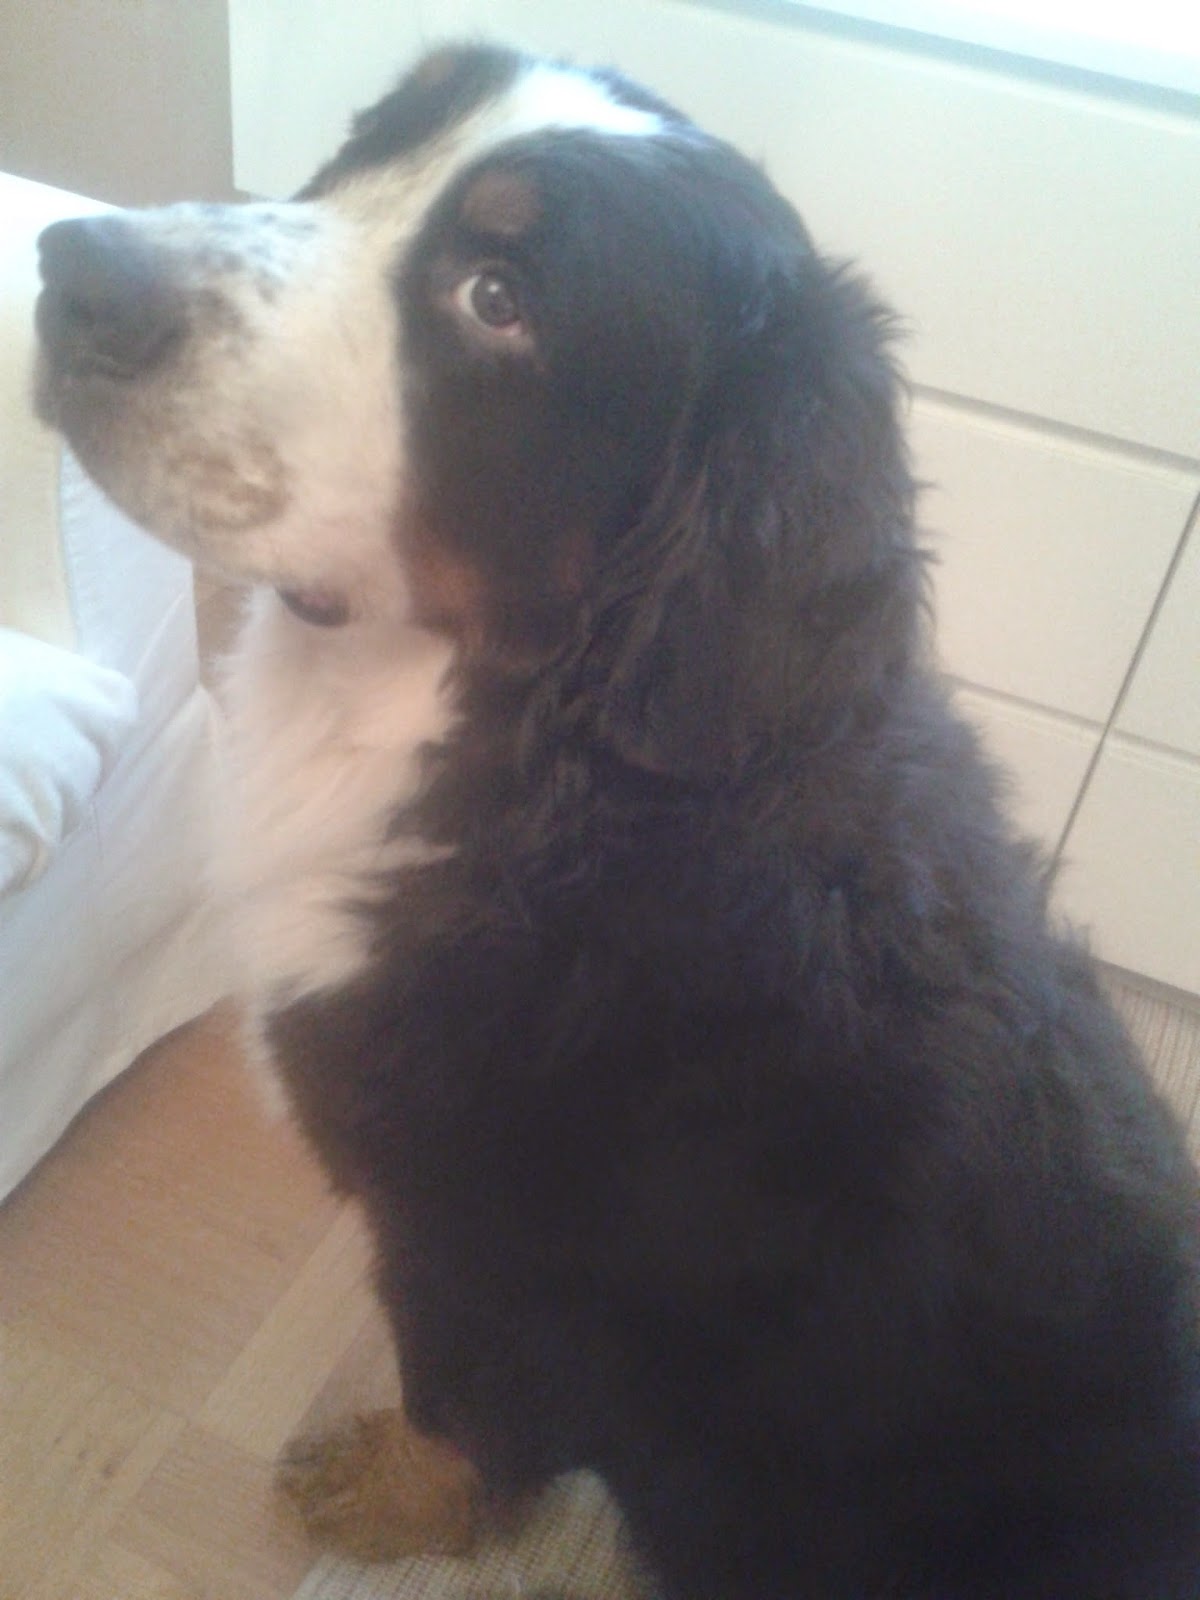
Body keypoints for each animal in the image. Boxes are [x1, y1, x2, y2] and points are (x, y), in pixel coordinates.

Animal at [34, 42, 1200, 1598]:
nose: (72, 271)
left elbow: (459, 1403)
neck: (558, 774)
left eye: (499, 300)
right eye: (364, 148)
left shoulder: (493, 1255)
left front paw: (392, 1492)